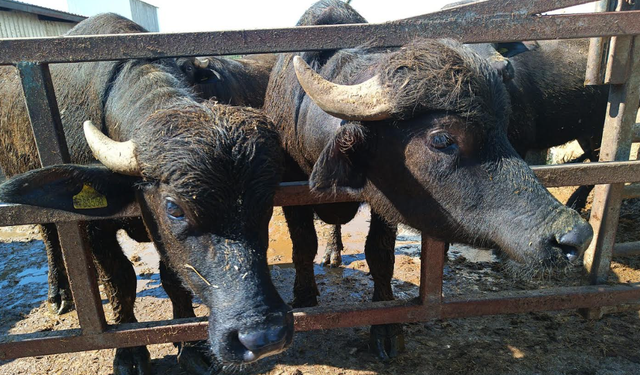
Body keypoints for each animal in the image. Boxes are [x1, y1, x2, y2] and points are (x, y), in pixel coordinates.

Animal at [0, 13, 290, 374]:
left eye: (267, 201)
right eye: (174, 208)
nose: (263, 335)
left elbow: (174, 277)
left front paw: (189, 346)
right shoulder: (94, 226)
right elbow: (121, 281)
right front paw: (130, 354)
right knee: (50, 234)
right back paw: (60, 293)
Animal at [262, 0, 592, 362]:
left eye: (502, 129)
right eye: (442, 139)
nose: (576, 234)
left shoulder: (385, 203)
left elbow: (380, 254)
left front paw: (386, 327)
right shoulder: (291, 193)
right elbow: (304, 246)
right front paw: (306, 299)